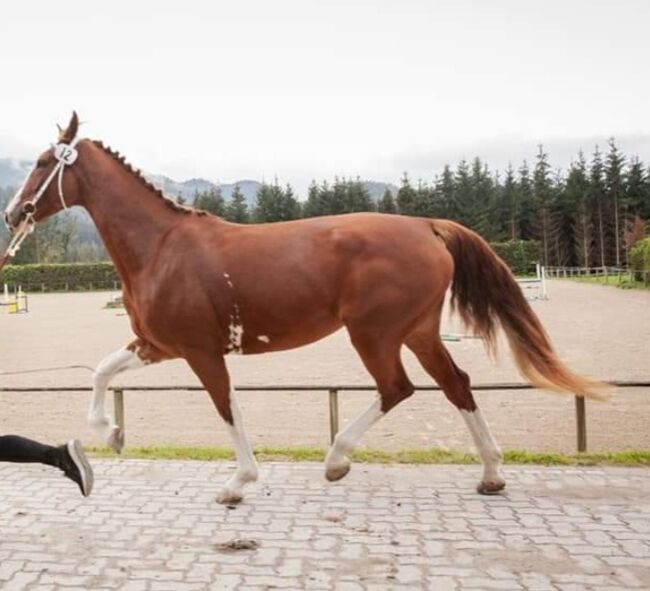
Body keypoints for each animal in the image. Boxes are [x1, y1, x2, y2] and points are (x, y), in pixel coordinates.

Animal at [5, 114, 600, 504]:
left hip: (375, 334)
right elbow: (102, 372)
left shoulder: (201, 352)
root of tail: (426, 225)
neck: (161, 246)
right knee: (456, 384)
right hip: (417, 332)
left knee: (398, 388)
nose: (12, 214)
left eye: (43, 162)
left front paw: (238, 483)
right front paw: (111, 433)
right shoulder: (159, 345)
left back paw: (337, 460)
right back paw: (491, 473)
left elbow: (227, 409)